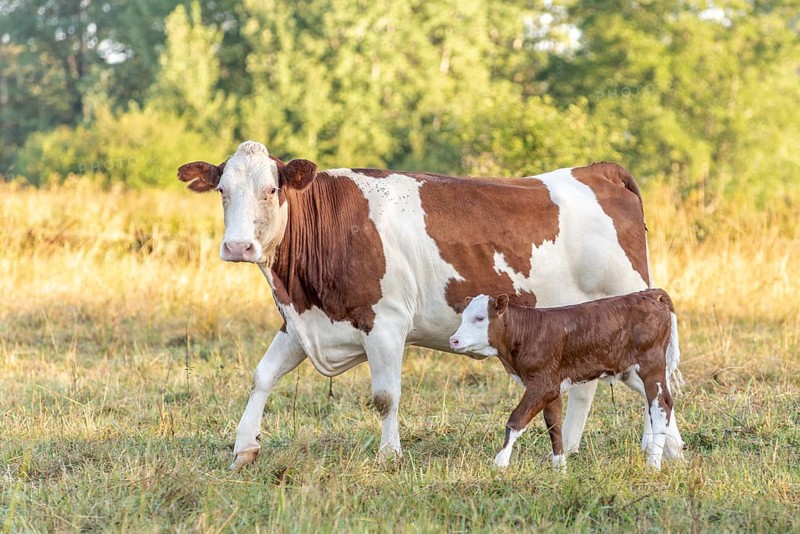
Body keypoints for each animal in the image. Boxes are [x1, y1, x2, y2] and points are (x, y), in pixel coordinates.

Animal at [177, 140, 653, 470]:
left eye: (271, 189)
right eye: (222, 190)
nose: (237, 246)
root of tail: (599, 170)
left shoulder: (385, 322)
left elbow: (385, 396)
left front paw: (389, 456)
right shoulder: (302, 324)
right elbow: (261, 377)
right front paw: (243, 448)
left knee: (653, 379)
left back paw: (653, 447)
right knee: (587, 385)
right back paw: (569, 448)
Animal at [449, 290, 684, 470]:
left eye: (480, 318)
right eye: (463, 317)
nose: (454, 340)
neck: (527, 333)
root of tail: (650, 293)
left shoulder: (543, 383)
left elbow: (516, 420)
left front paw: (500, 462)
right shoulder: (552, 384)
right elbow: (554, 424)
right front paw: (559, 468)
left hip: (650, 364)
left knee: (660, 405)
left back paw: (653, 464)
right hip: (631, 370)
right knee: (659, 402)